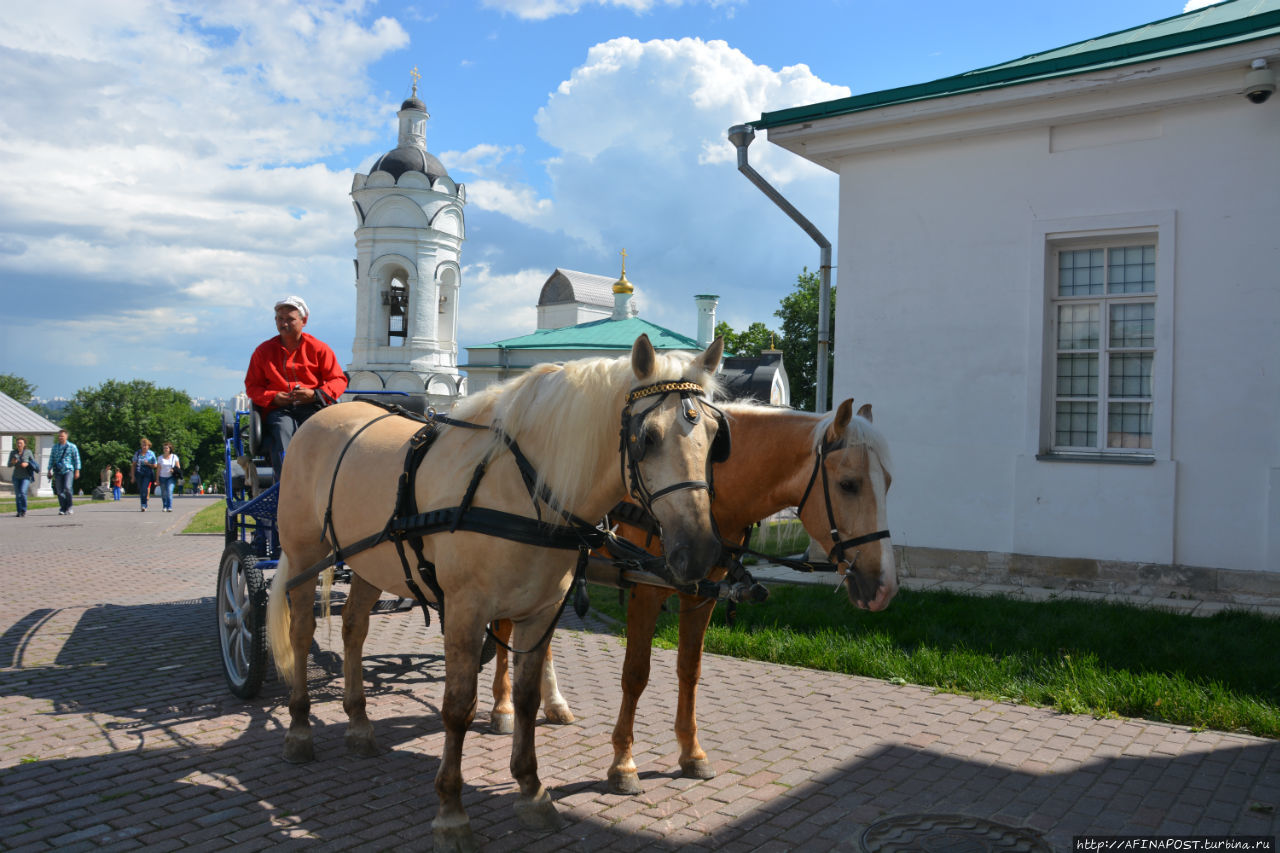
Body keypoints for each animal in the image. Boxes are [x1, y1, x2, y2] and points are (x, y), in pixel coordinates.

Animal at [267, 335, 732, 845]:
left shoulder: (541, 612)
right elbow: (457, 707)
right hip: (305, 556)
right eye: (647, 437)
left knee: (353, 629)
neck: (522, 491)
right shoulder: (465, 613)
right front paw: (451, 810)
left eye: (715, 438)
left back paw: (358, 724)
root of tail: (325, 416)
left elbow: (527, 701)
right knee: (302, 633)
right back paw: (299, 729)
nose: (701, 551)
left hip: (371, 562)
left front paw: (531, 790)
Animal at [483, 394, 896, 794]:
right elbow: (636, 674)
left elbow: (689, 670)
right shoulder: (648, 589)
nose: (884, 587)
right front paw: (623, 764)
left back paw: (554, 703)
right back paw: (503, 707)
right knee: (504, 628)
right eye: (848, 484)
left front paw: (692, 753)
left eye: (889, 482)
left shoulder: (701, 595)